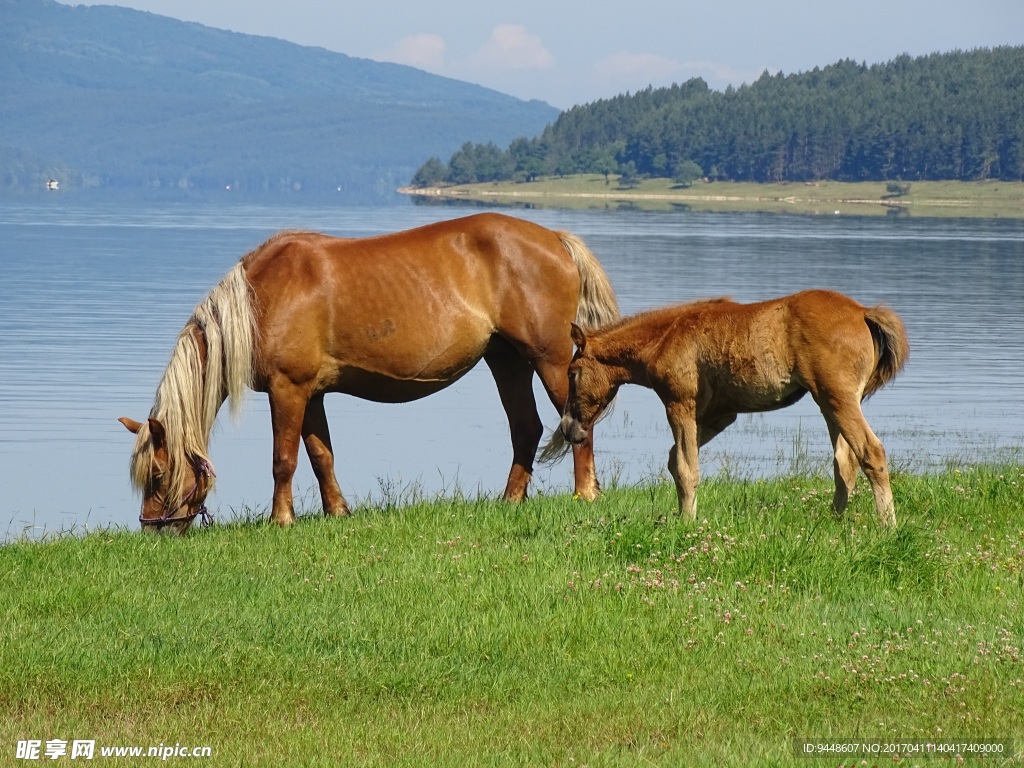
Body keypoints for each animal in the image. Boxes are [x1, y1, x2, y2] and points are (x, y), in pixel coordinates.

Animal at [119, 214, 614, 532]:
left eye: (158, 474)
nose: (153, 531)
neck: (260, 298)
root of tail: (555, 238)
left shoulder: (288, 389)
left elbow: (284, 459)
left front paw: (281, 520)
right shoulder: (311, 394)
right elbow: (321, 456)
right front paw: (337, 511)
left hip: (550, 360)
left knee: (578, 425)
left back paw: (585, 493)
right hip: (507, 361)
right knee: (526, 428)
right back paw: (510, 500)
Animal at [544, 290, 913, 528]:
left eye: (572, 373)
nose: (569, 428)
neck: (665, 337)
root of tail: (863, 312)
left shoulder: (679, 403)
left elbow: (685, 466)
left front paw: (687, 524)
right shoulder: (720, 415)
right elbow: (675, 461)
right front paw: (682, 515)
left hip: (838, 399)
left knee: (871, 452)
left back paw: (888, 526)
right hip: (829, 403)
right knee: (844, 463)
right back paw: (834, 521)